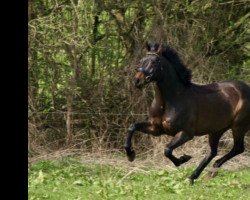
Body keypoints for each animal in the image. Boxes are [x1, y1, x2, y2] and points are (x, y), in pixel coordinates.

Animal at [125, 41, 250, 184]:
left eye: (154, 62)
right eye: (141, 60)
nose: (137, 81)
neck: (172, 99)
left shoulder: (186, 133)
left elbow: (167, 150)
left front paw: (183, 159)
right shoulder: (156, 129)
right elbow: (132, 127)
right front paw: (130, 155)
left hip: (239, 127)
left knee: (237, 148)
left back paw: (209, 172)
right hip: (217, 130)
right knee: (213, 152)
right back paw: (197, 176)